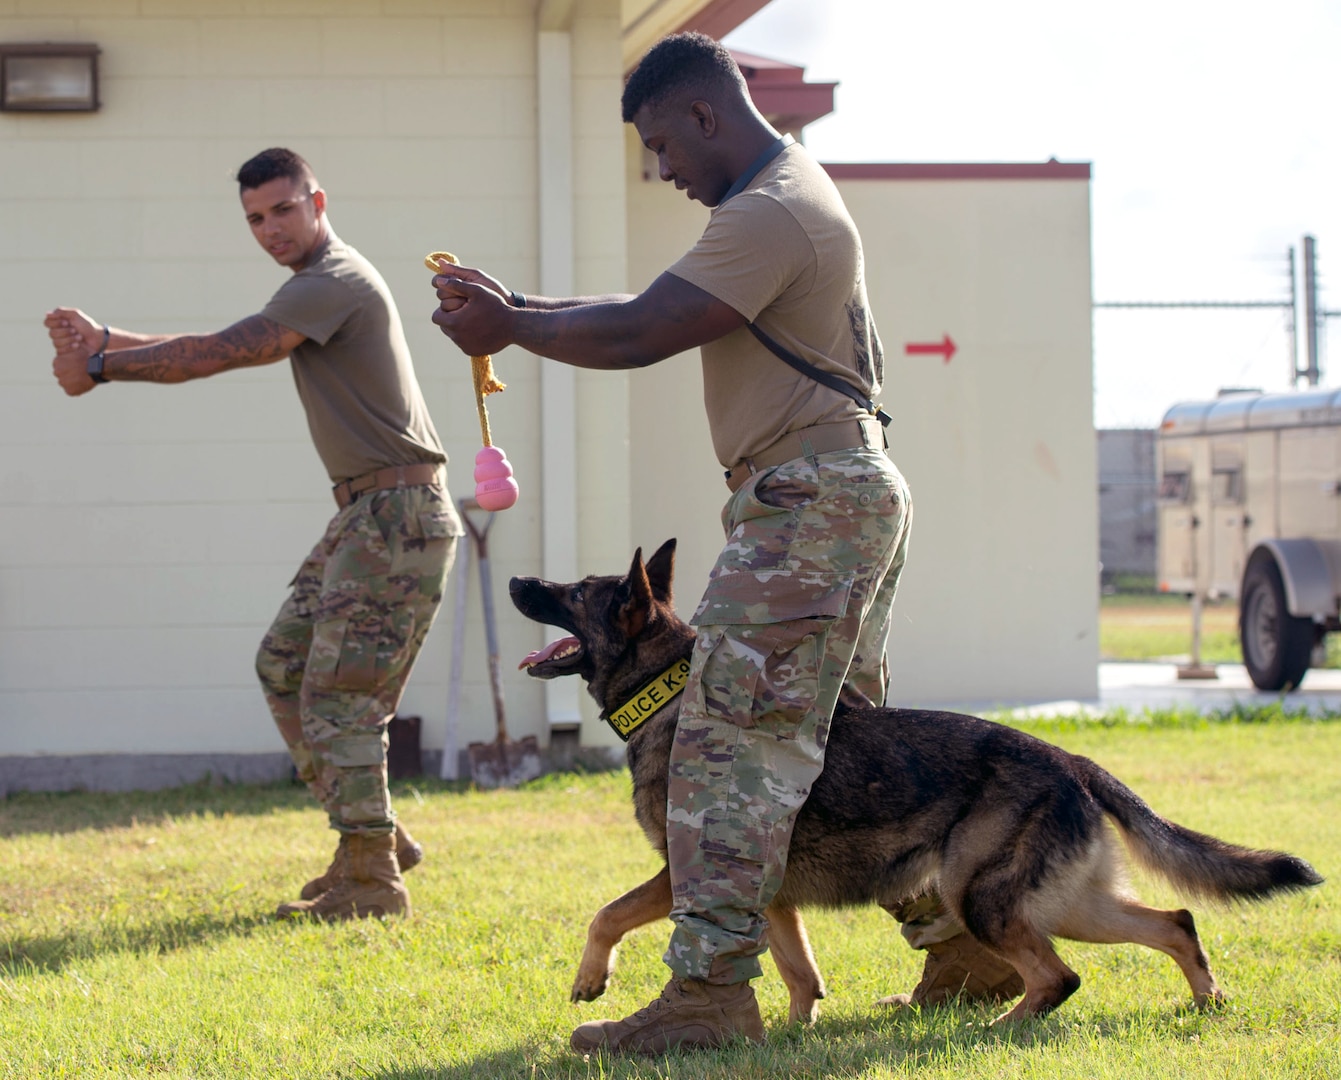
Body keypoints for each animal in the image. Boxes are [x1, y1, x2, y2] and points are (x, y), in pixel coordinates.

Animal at [506, 544, 1324, 1024]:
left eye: (573, 593)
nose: (517, 577)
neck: (671, 692)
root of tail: (1068, 760)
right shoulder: (772, 899)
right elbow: (799, 975)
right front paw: (786, 1038)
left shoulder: (684, 875)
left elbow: (607, 914)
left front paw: (590, 982)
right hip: (1062, 903)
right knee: (1174, 923)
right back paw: (1207, 1001)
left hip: (982, 897)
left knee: (1059, 978)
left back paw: (1001, 1028)